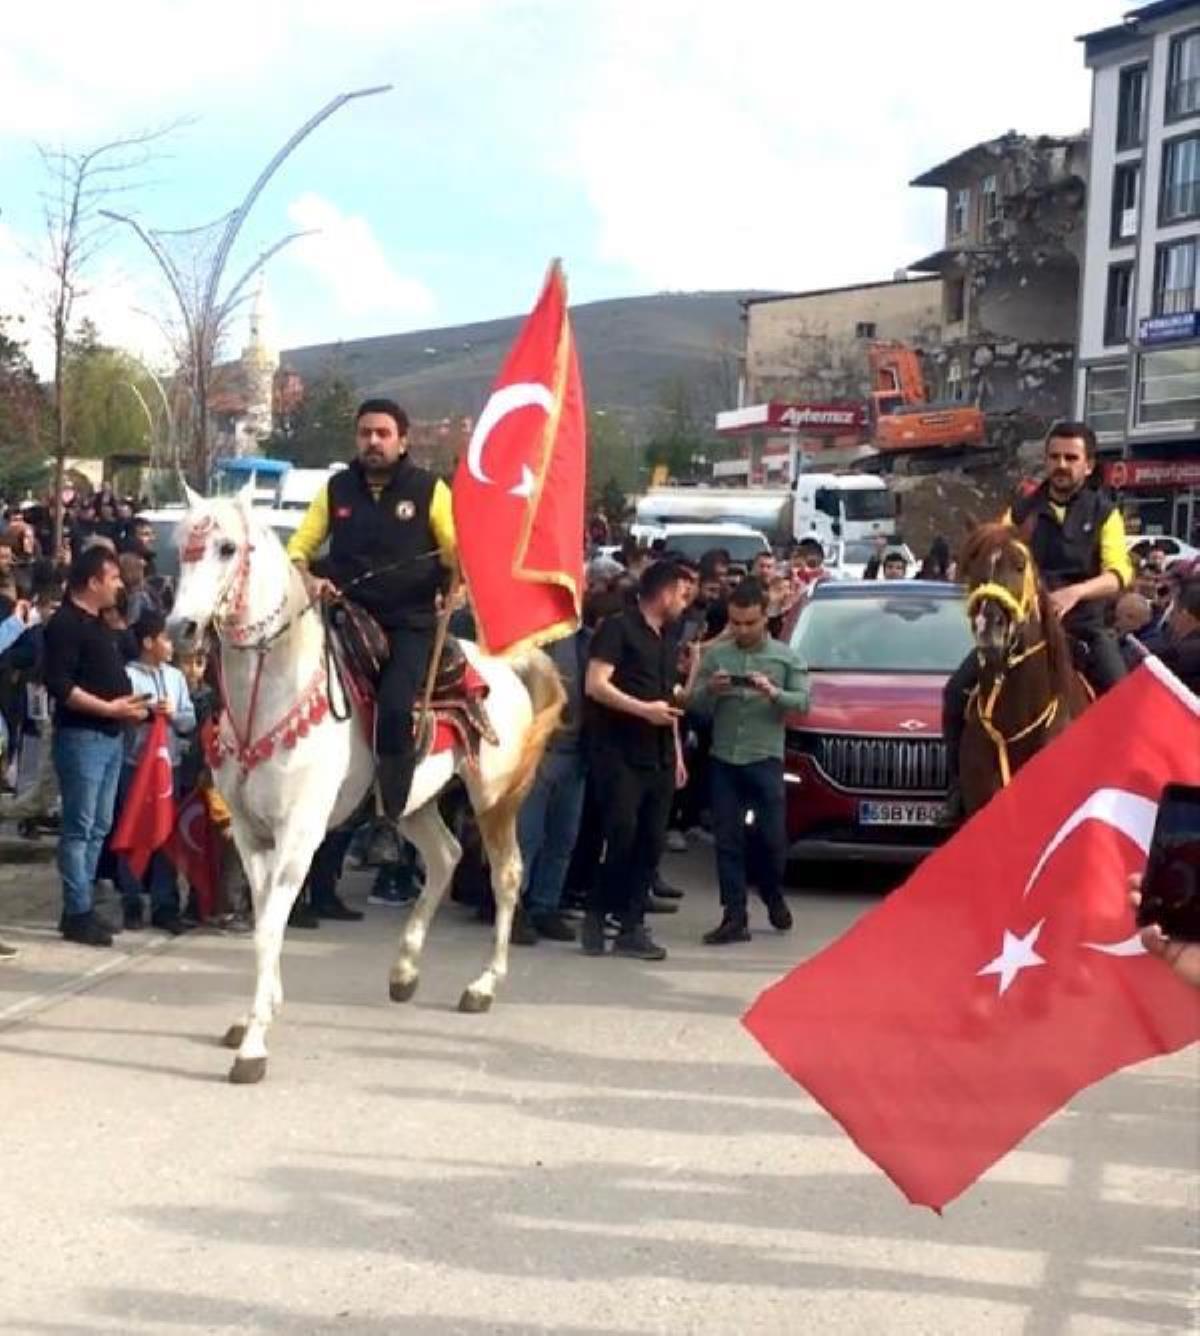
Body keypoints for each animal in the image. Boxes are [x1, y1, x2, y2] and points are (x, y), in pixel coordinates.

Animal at [165, 488, 563, 1084]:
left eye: (227, 547)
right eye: (179, 546)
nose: (181, 629)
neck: (272, 695)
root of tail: (504, 662)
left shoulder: (298, 835)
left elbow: (268, 928)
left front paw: (254, 1043)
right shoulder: (249, 832)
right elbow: (263, 922)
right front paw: (255, 1015)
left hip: (492, 799)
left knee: (507, 875)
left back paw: (483, 985)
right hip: (411, 801)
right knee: (446, 857)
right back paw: (404, 971)